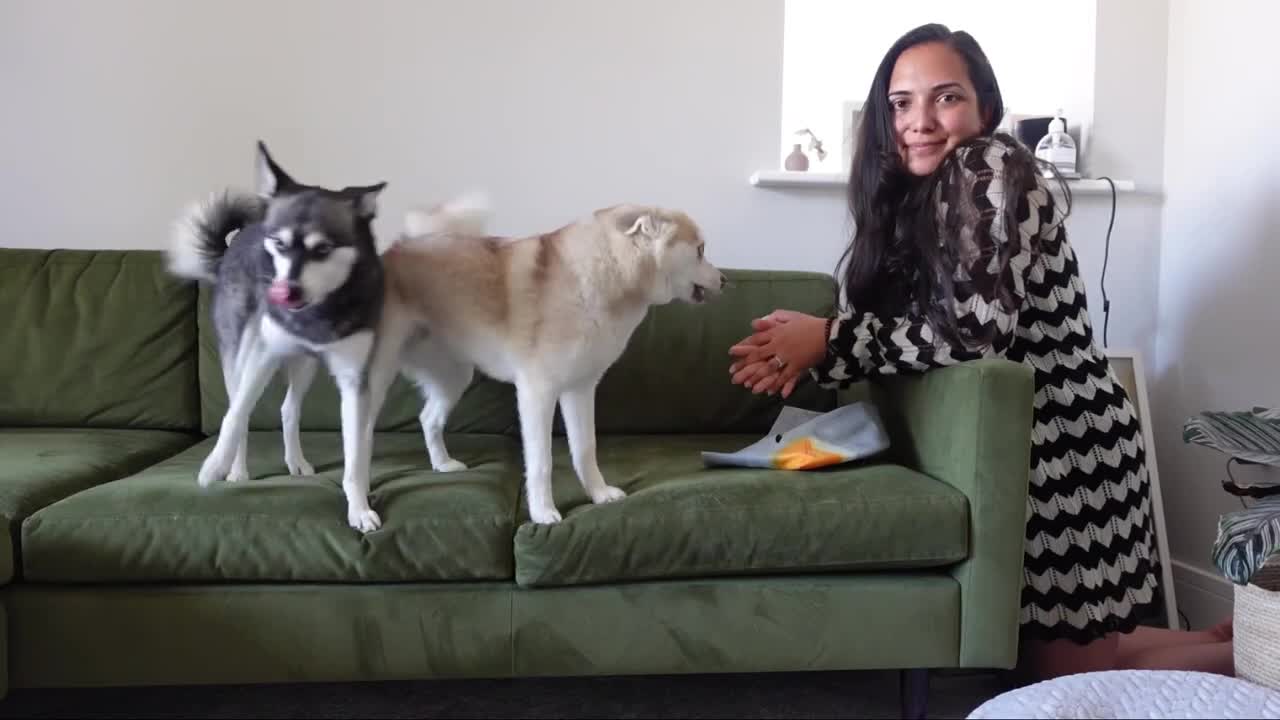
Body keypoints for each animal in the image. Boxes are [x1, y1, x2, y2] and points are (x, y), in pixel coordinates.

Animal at [170, 142, 389, 530]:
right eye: (279, 244)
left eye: (323, 250)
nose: (284, 292)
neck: (318, 311)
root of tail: (234, 243)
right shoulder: (263, 354)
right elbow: (235, 416)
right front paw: (214, 465)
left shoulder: (354, 379)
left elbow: (355, 455)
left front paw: (359, 507)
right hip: (240, 355)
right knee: (237, 405)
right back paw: (236, 469)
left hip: (304, 365)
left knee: (289, 408)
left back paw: (296, 462)